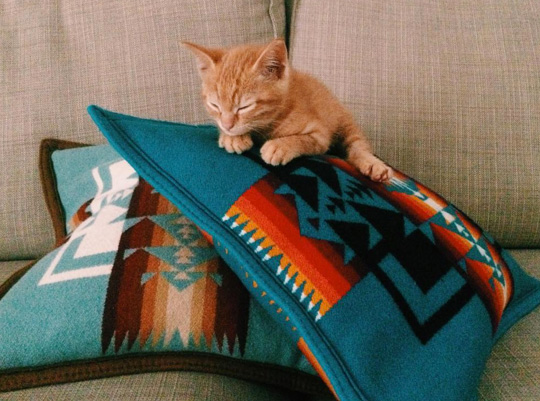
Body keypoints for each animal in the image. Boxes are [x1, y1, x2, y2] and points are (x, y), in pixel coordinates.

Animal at [182, 37, 392, 181]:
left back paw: (373, 165)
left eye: (244, 106)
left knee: (358, 145)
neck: (268, 122)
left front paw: (280, 146)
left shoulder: (319, 135)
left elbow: (302, 139)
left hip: (344, 119)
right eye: (214, 105)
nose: (227, 125)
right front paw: (231, 138)